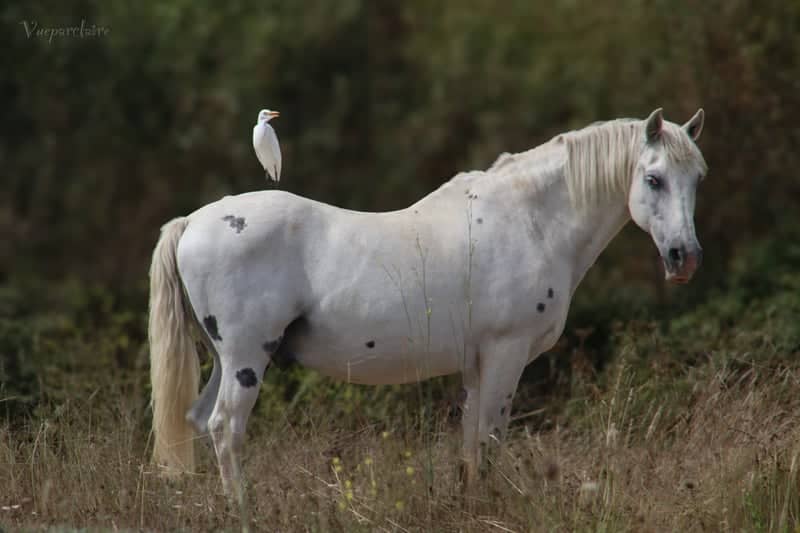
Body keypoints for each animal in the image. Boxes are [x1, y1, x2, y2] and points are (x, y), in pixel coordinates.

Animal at [148, 108, 707, 493]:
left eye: (697, 178)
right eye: (653, 179)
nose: (685, 258)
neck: (531, 221)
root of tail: (192, 222)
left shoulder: (477, 365)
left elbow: (471, 445)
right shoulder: (505, 354)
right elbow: (489, 439)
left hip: (226, 360)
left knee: (199, 422)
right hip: (246, 359)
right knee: (225, 428)